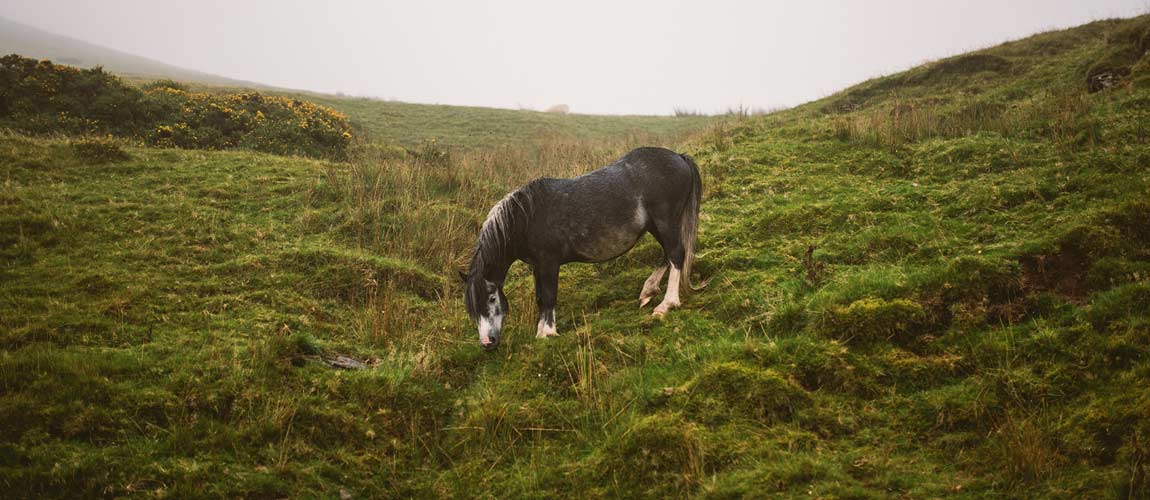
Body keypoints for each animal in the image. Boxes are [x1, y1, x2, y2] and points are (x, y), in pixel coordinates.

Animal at [462, 146, 703, 350]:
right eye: (472, 308)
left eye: (492, 298)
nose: (487, 342)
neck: (526, 217)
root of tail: (678, 156)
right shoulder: (538, 266)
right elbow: (540, 298)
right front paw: (541, 332)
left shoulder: (549, 263)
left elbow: (549, 296)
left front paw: (548, 333)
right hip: (656, 226)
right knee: (668, 254)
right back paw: (648, 291)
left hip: (665, 222)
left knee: (676, 254)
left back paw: (667, 304)